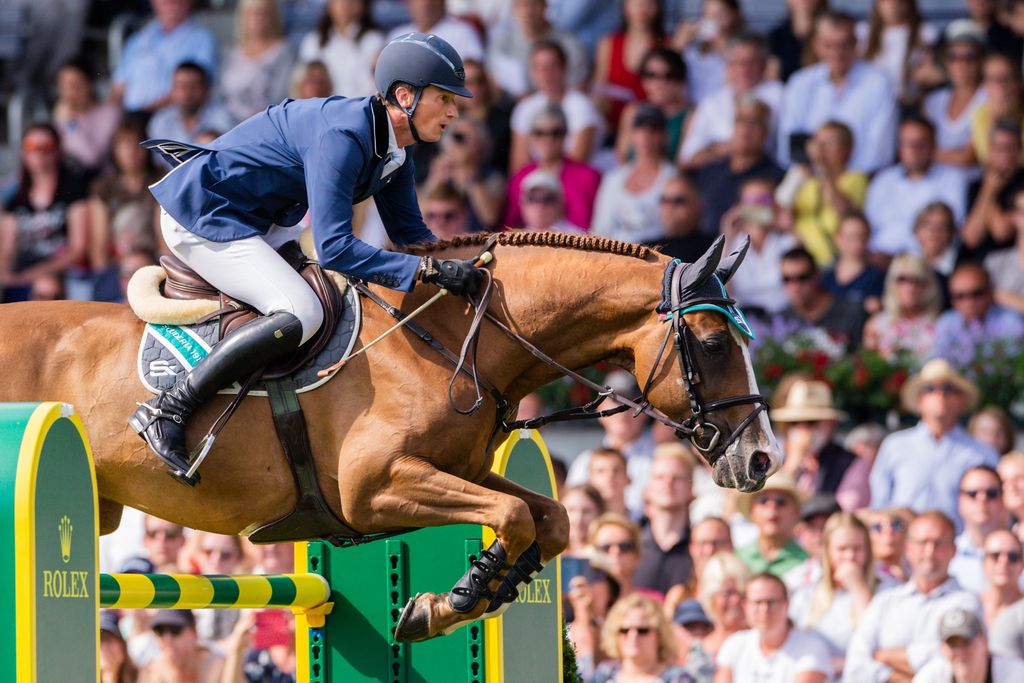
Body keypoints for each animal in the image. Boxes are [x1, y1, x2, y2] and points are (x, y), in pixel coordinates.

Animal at [0, 231, 778, 643]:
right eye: (714, 344)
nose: (761, 459)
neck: (452, 338)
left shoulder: (456, 470)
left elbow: (547, 518)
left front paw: (461, 596)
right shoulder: (376, 489)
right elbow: (516, 514)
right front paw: (450, 603)